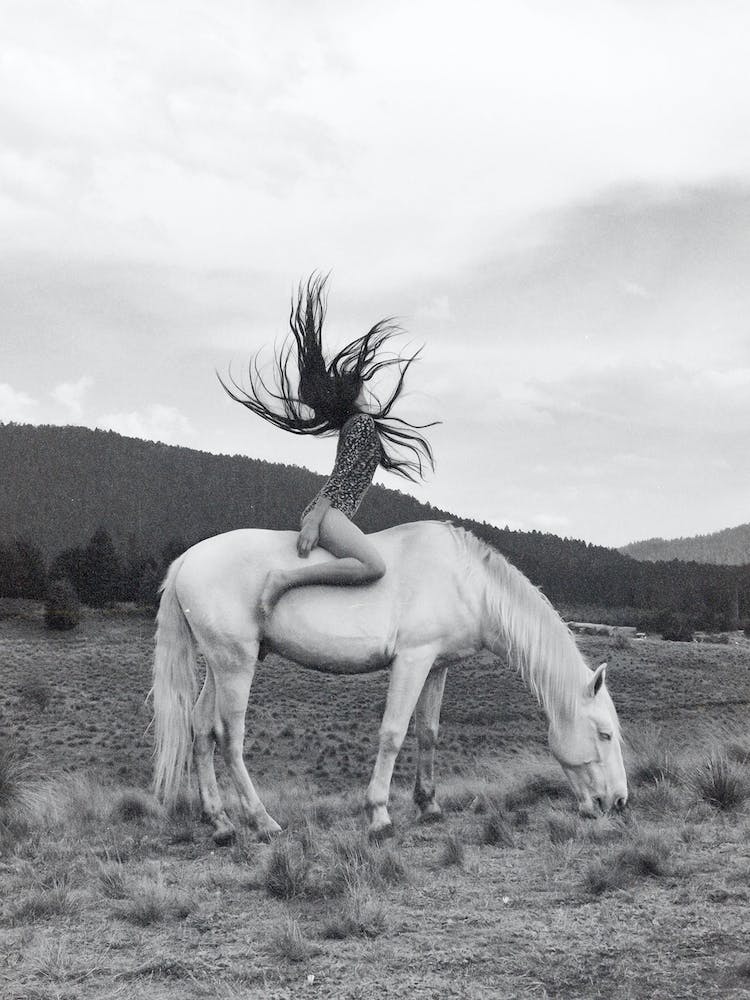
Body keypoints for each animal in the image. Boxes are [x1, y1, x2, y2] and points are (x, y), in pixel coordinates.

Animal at [152, 520, 627, 844]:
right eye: (604, 734)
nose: (619, 802)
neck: (468, 582)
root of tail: (188, 559)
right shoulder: (412, 660)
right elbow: (393, 734)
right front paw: (379, 816)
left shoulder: (436, 665)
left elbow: (428, 732)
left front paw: (429, 804)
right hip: (236, 665)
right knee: (229, 737)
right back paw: (262, 821)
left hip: (219, 666)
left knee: (201, 729)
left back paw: (220, 822)